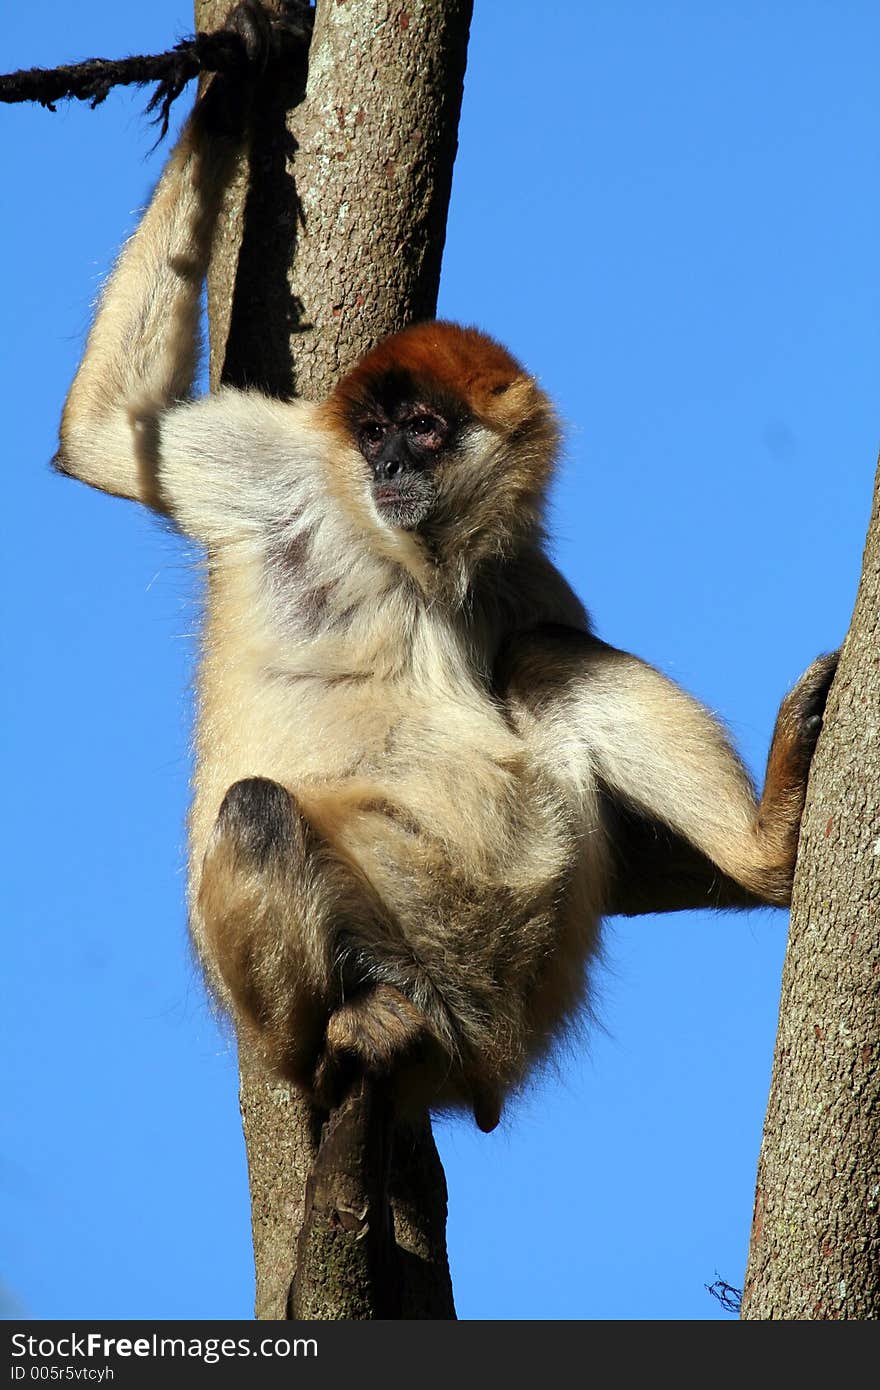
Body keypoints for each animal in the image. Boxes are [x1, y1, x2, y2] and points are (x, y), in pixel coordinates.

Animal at [53, 10, 839, 1134]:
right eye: (375, 433)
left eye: (424, 430)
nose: (387, 467)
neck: (412, 558)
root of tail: (467, 1044)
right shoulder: (290, 473)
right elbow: (103, 435)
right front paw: (232, 75)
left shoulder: (525, 570)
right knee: (254, 813)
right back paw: (325, 1047)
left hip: (535, 929)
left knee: (547, 658)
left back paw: (767, 850)